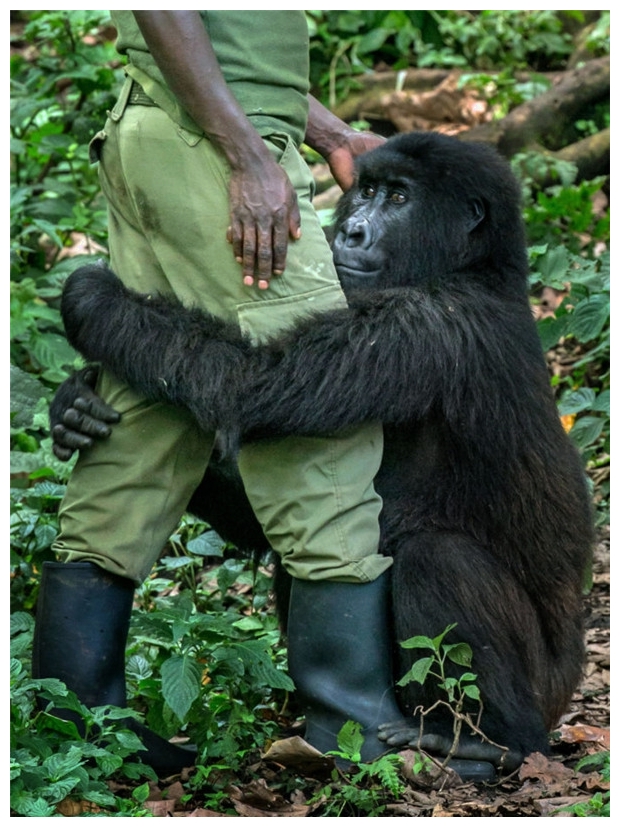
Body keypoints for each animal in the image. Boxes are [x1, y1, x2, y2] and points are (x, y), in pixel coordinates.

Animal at [52, 133, 592, 780]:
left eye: (399, 198)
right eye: (367, 189)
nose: (352, 230)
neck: (475, 268)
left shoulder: (426, 323)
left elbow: (245, 388)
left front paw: (95, 301)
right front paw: (72, 409)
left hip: (547, 694)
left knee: (438, 559)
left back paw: (490, 742)